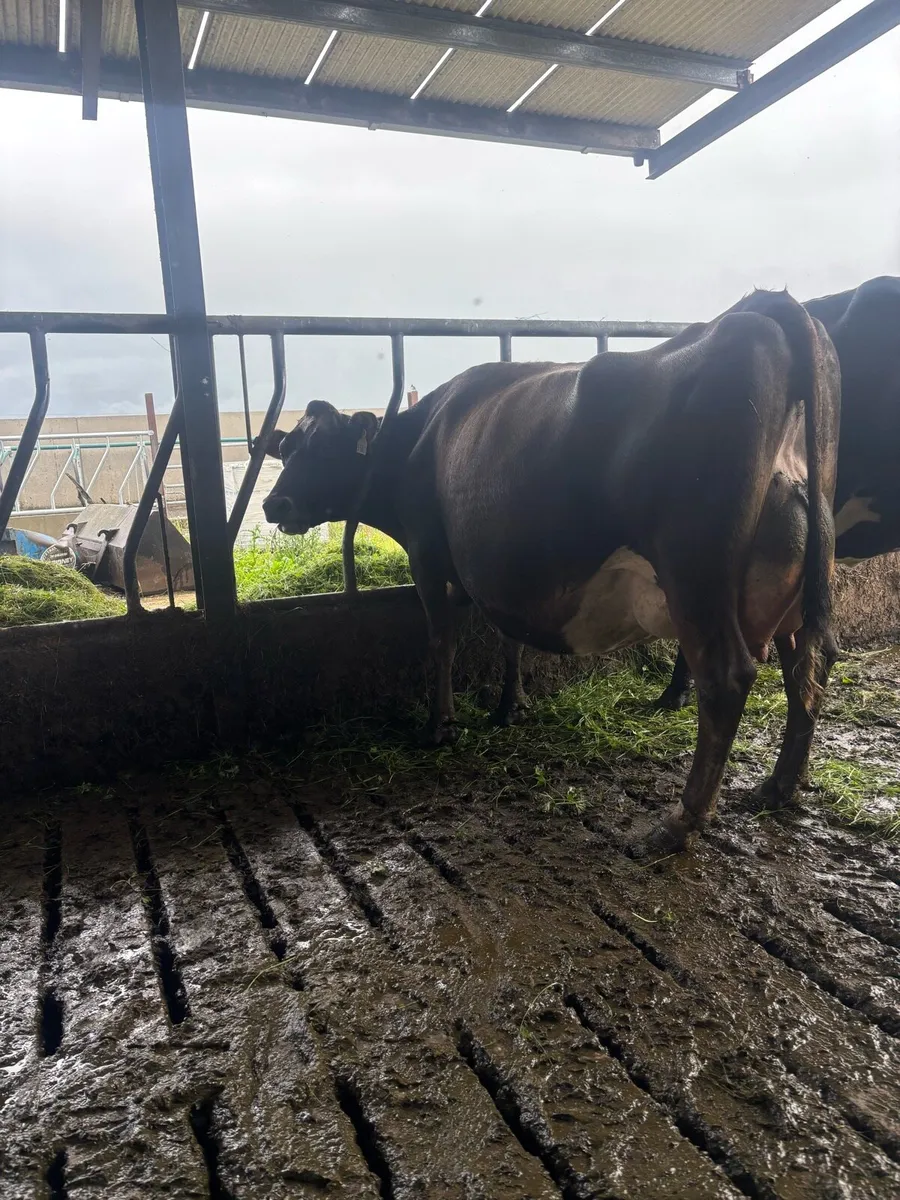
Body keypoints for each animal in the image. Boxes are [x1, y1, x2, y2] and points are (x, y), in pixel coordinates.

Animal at [262, 290, 840, 855]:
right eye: (286, 448)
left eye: (322, 448)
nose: (272, 504)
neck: (416, 440)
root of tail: (760, 313)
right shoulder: (497, 570)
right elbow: (509, 636)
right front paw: (510, 706)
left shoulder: (426, 552)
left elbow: (442, 639)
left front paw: (440, 725)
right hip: (792, 582)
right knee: (806, 669)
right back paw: (778, 787)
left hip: (696, 572)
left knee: (726, 676)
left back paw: (681, 821)